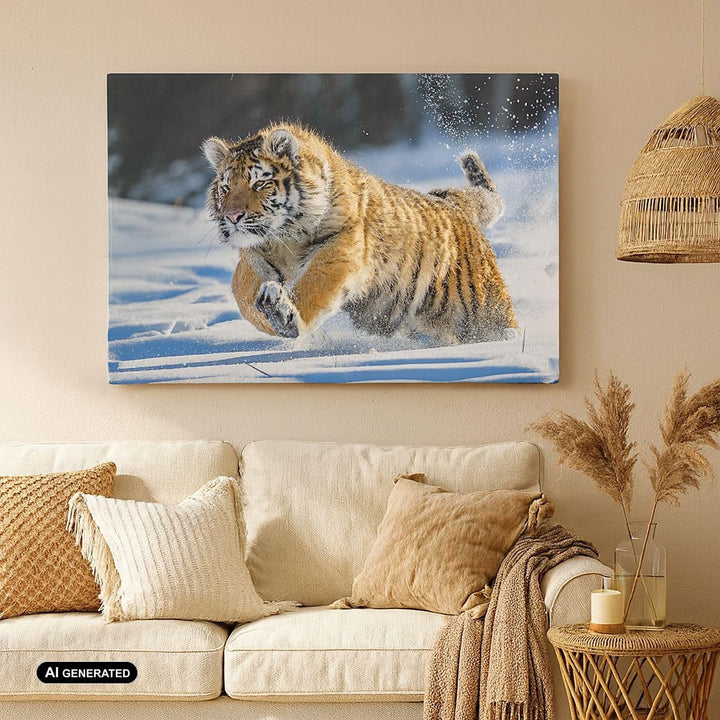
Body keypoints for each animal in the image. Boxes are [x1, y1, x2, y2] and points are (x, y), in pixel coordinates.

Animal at [202, 123, 516, 345]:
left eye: (259, 184)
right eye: (226, 187)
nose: (232, 217)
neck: (285, 238)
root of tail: (454, 203)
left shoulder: (341, 247)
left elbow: (313, 284)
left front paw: (285, 316)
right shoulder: (254, 255)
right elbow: (243, 293)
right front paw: (269, 314)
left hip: (486, 310)